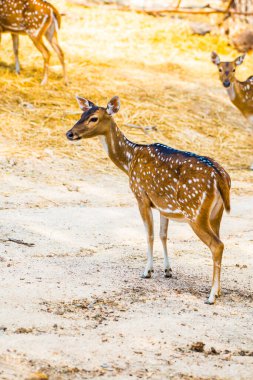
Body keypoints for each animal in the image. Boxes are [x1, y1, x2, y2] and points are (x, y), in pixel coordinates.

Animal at [65, 96, 231, 304]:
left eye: (93, 118)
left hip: (195, 212)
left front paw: (147, 271)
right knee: (220, 242)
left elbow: (149, 234)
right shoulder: (164, 205)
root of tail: (220, 177)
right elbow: (163, 235)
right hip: (216, 213)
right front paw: (167, 270)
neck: (129, 161)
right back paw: (219, 291)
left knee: (217, 245)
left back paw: (211, 296)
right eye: (81, 114)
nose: (69, 133)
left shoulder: (141, 195)